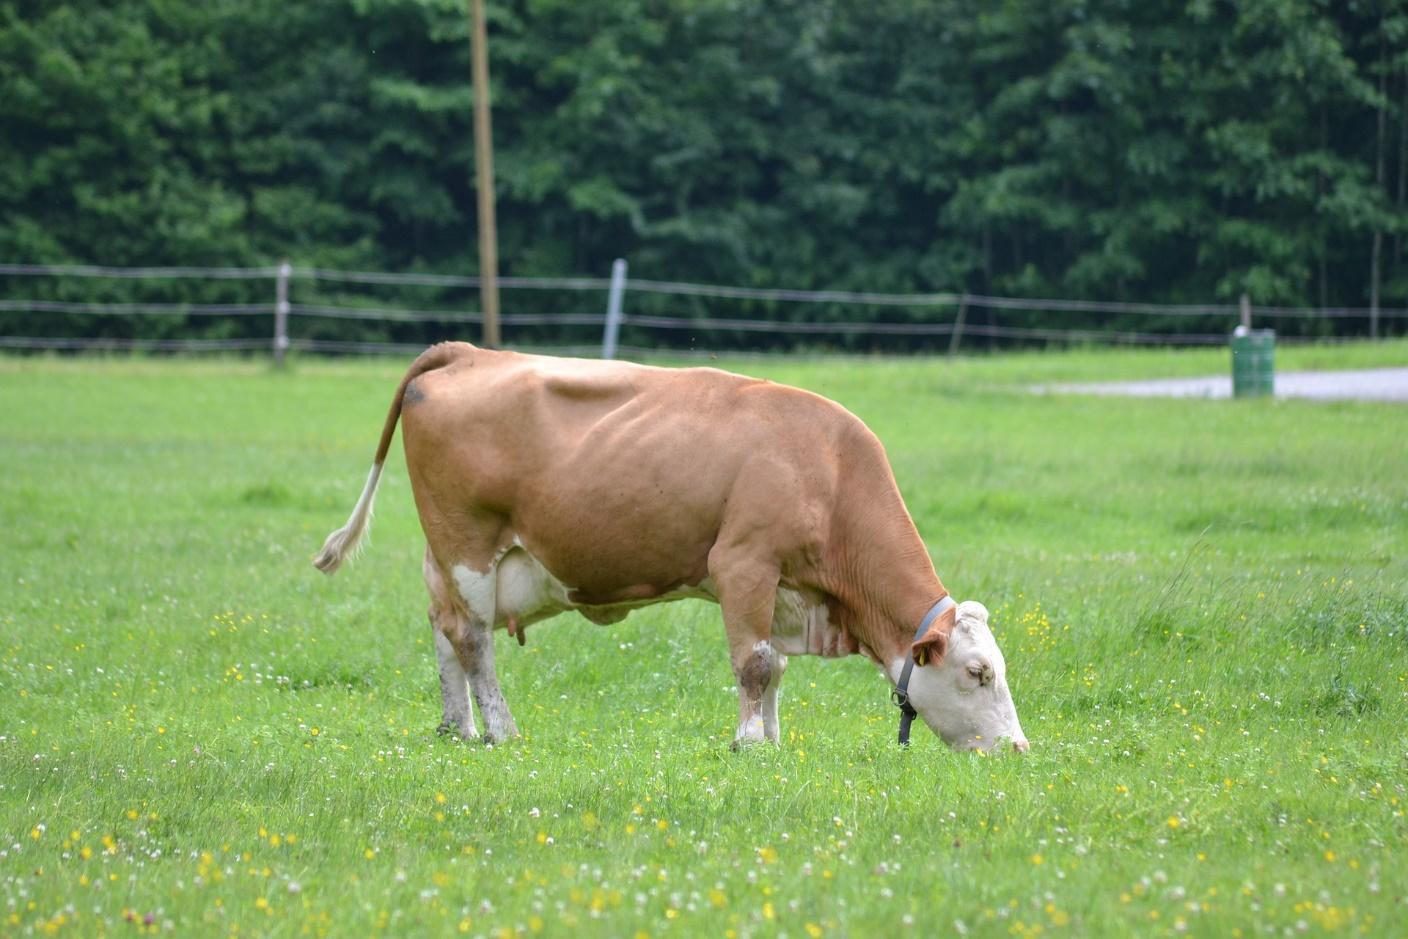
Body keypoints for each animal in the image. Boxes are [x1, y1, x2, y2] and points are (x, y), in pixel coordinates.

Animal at [313, 342, 1030, 754]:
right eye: (978, 672)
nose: (1019, 748)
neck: (827, 468)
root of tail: (466, 351)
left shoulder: (783, 587)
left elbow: (776, 665)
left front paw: (773, 737)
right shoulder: (743, 564)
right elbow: (756, 664)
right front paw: (749, 743)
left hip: (447, 555)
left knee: (444, 626)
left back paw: (457, 726)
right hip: (468, 543)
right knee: (473, 640)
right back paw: (499, 729)